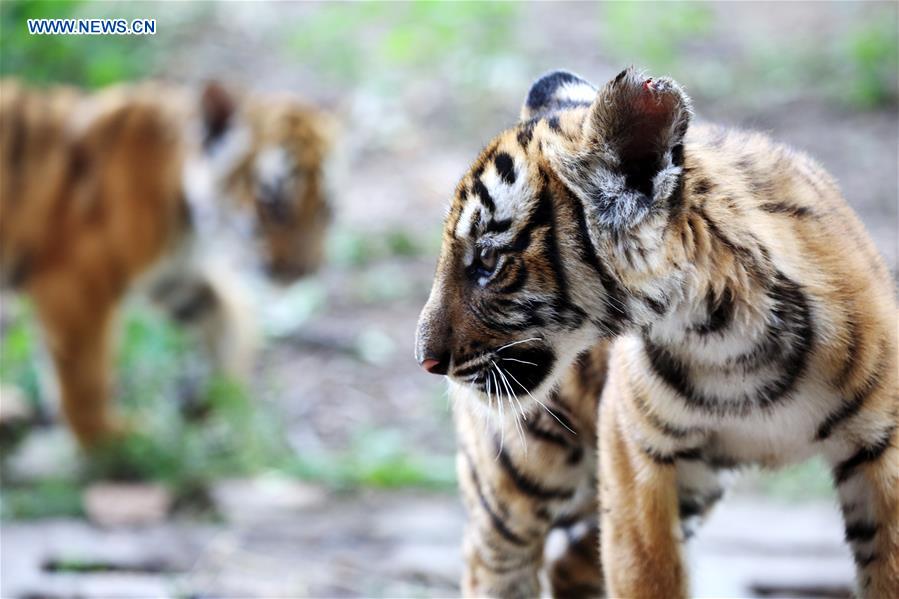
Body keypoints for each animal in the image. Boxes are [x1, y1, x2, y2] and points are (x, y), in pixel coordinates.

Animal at [0, 78, 334, 448]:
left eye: (325, 210)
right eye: (275, 206)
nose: (303, 271)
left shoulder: (175, 277)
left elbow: (227, 317)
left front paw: (219, 395)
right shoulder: (77, 281)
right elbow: (85, 376)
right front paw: (110, 438)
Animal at [415, 67, 898, 598]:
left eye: (487, 260)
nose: (426, 361)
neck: (728, 338)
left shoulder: (882, 449)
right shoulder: (636, 454)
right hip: (516, 476)